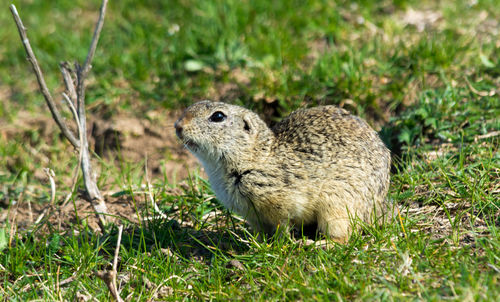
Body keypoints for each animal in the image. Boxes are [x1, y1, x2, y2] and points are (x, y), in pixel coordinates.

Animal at [174, 100, 392, 242]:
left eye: (218, 116)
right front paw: (255, 243)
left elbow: (282, 226)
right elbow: (259, 231)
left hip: (338, 206)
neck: (255, 157)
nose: (178, 126)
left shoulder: (282, 205)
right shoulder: (252, 215)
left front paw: (278, 245)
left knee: (344, 236)